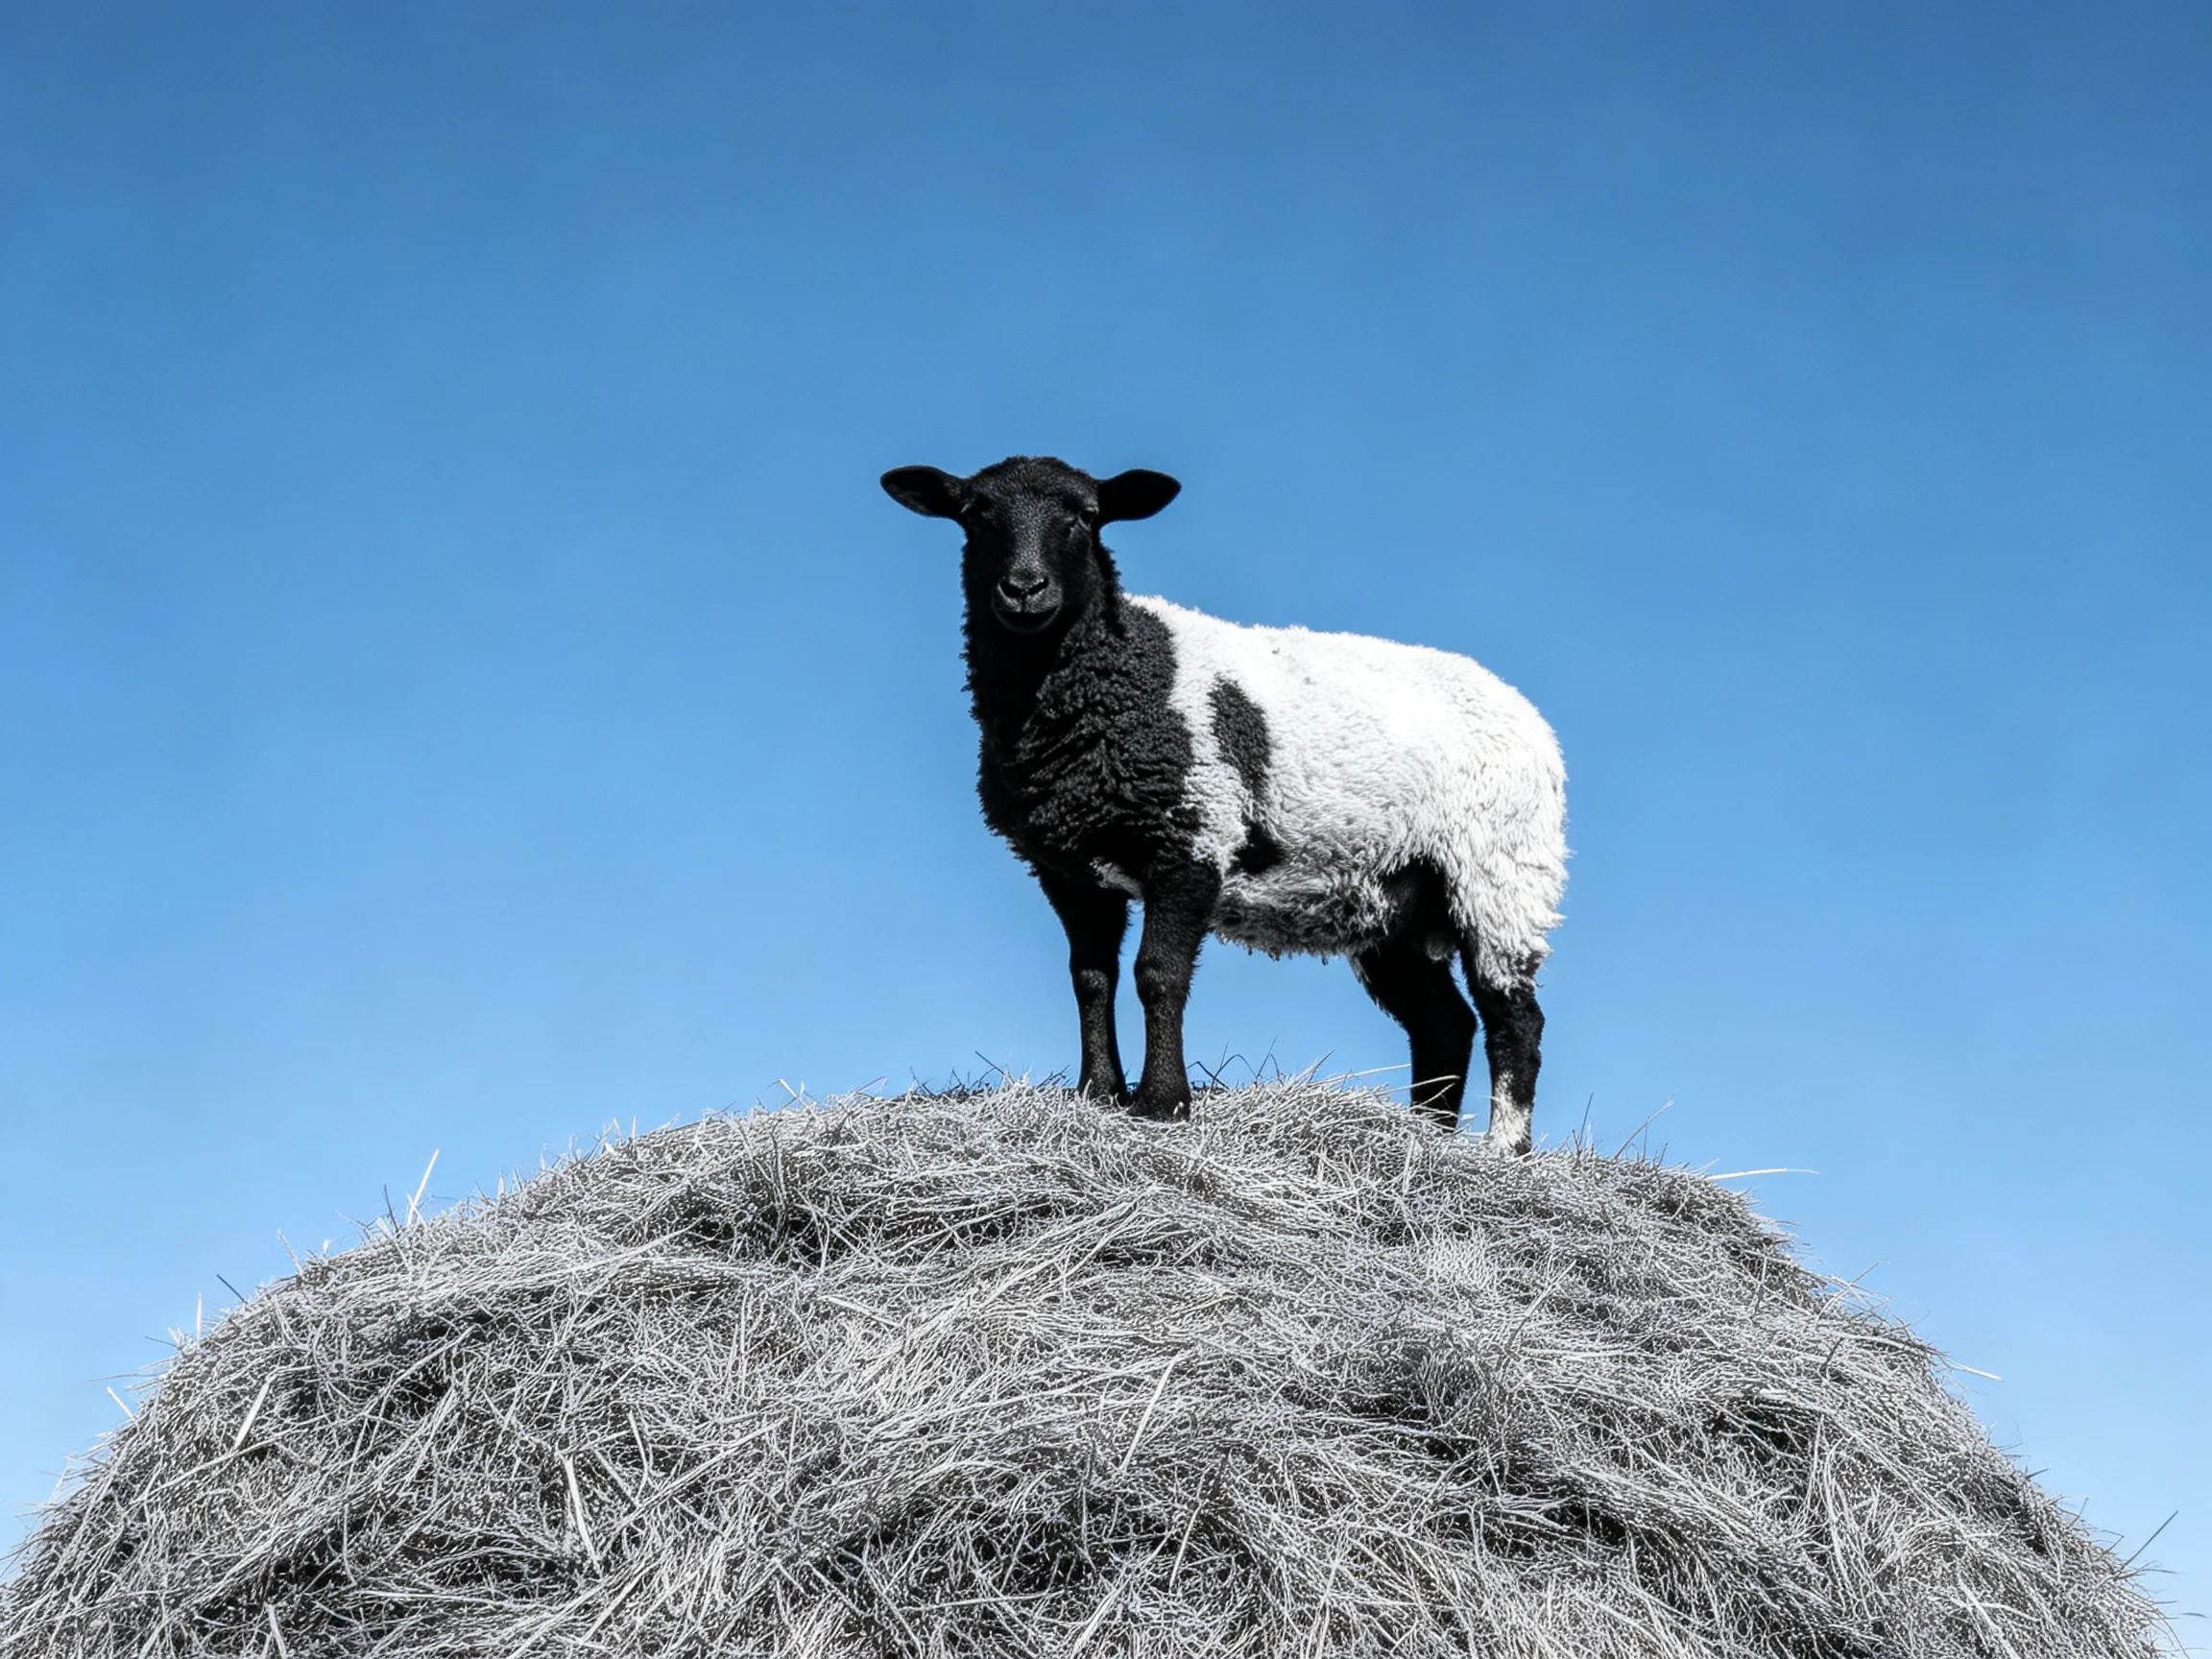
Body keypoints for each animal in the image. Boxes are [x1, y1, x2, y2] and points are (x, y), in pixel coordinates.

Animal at [881, 455, 1567, 1153]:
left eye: (1084, 516)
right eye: (976, 514)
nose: (1024, 588)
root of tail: (1527, 714)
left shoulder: (1191, 837)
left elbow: (1157, 974)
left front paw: (1162, 1104)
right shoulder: (1071, 869)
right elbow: (1090, 979)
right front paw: (1098, 1094)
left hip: (1498, 871)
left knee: (1514, 1018)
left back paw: (1505, 1149)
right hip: (1390, 898)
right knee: (1443, 1024)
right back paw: (1422, 1139)